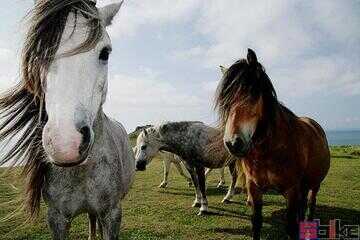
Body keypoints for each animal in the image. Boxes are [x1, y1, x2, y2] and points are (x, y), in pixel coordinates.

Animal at [0, 0, 134, 239]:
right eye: (37, 54)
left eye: (105, 52)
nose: (66, 143)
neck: (81, 171)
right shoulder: (57, 218)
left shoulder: (112, 214)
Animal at [214, 47, 330, 239]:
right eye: (225, 103)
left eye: (252, 95)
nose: (233, 143)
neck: (269, 152)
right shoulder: (254, 188)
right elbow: (256, 223)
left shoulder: (292, 190)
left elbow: (291, 227)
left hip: (315, 184)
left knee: (311, 204)